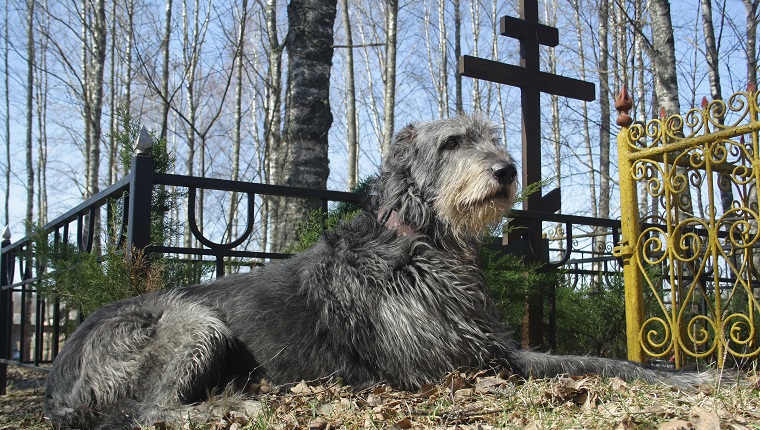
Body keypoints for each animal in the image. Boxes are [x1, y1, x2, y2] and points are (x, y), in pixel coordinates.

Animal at [46, 115, 700, 430]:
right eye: (451, 143)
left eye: (493, 137)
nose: (508, 170)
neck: (418, 239)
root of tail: (59, 380)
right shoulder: (466, 367)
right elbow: (592, 363)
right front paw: (692, 378)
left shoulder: (488, 348)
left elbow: (598, 361)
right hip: (189, 322)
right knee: (144, 412)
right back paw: (237, 407)